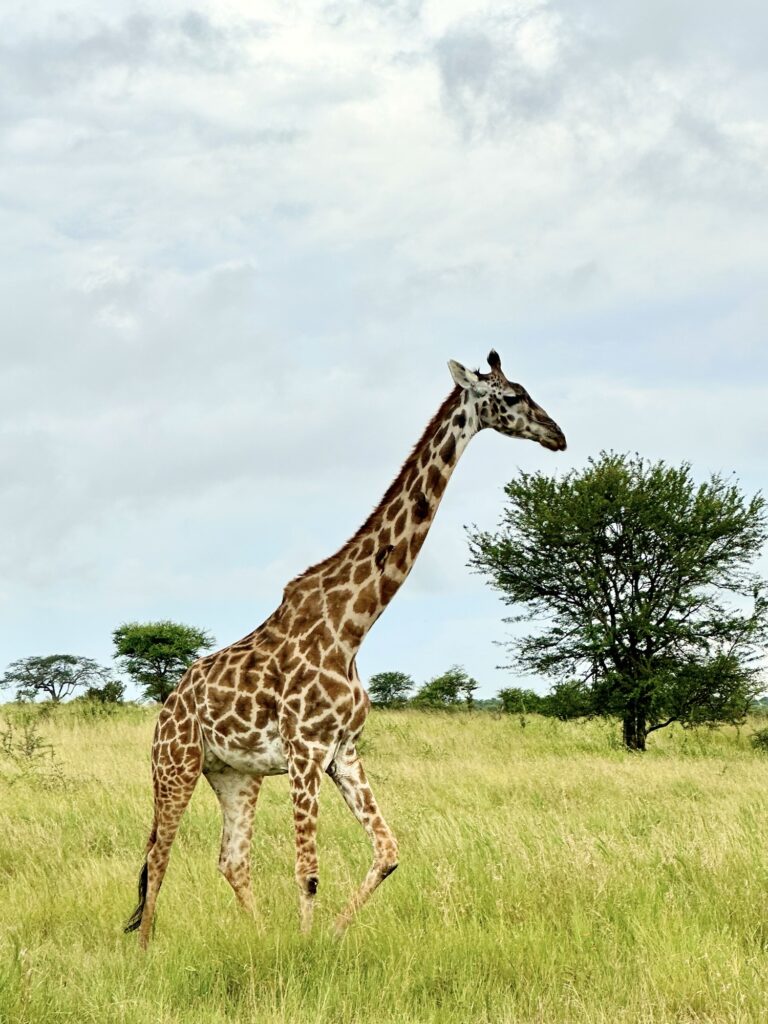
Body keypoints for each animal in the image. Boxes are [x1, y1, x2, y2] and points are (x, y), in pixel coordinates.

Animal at [124, 350, 566, 948]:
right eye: (514, 396)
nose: (558, 435)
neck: (352, 625)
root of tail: (166, 707)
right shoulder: (305, 749)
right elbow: (307, 871)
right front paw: (306, 948)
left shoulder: (343, 750)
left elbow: (388, 852)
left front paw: (327, 938)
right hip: (175, 766)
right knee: (158, 857)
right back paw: (146, 952)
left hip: (234, 774)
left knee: (230, 859)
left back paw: (259, 937)